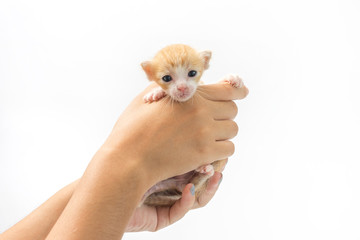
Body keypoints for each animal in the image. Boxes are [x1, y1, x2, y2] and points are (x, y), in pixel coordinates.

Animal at [141, 43, 245, 206]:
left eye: (192, 73)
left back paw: (206, 169)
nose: (182, 88)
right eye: (166, 78)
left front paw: (232, 78)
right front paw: (156, 92)